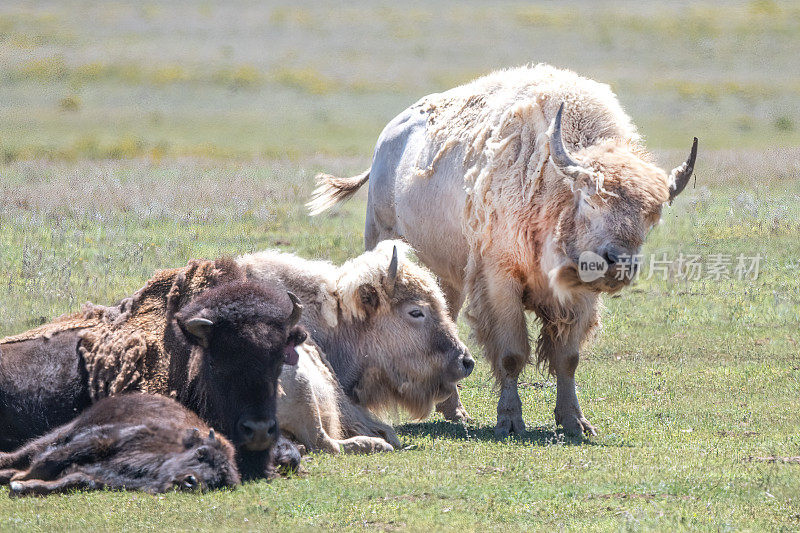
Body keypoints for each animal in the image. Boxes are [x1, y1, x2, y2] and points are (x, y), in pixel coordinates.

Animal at [0, 392, 239, 496]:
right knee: (27, 452)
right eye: (200, 453)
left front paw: (20, 485)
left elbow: (70, 481)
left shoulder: (99, 477)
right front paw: (20, 479)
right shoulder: (100, 440)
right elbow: (48, 461)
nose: (192, 481)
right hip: (66, 431)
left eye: (218, 481)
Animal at [310, 63, 696, 436]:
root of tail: (387, 141)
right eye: (590, 200)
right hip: (385, 241)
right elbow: (512, 354)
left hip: (446, 277)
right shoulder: (500, 279)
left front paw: (576, 422)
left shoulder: (578, 296)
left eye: (652, 215)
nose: (617, 264)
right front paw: (510, 420)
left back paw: (455, 412)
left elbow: (567, 358)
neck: (554, 184)